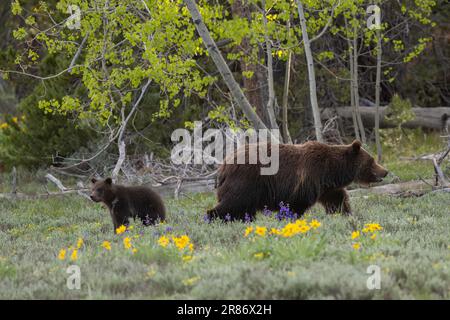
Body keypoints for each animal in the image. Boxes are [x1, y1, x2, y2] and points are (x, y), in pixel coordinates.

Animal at [207, 141, 386, 221]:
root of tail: (224, 164)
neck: (331, 171)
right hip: (246, 182)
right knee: (232, 202)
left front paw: (346, 214)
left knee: (243, 208)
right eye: (372, 161)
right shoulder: (308, 179)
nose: (385, 171)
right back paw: (213, 217)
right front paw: (288, 218)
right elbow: (296, 204)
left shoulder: (327, 187)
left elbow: (338, 200)